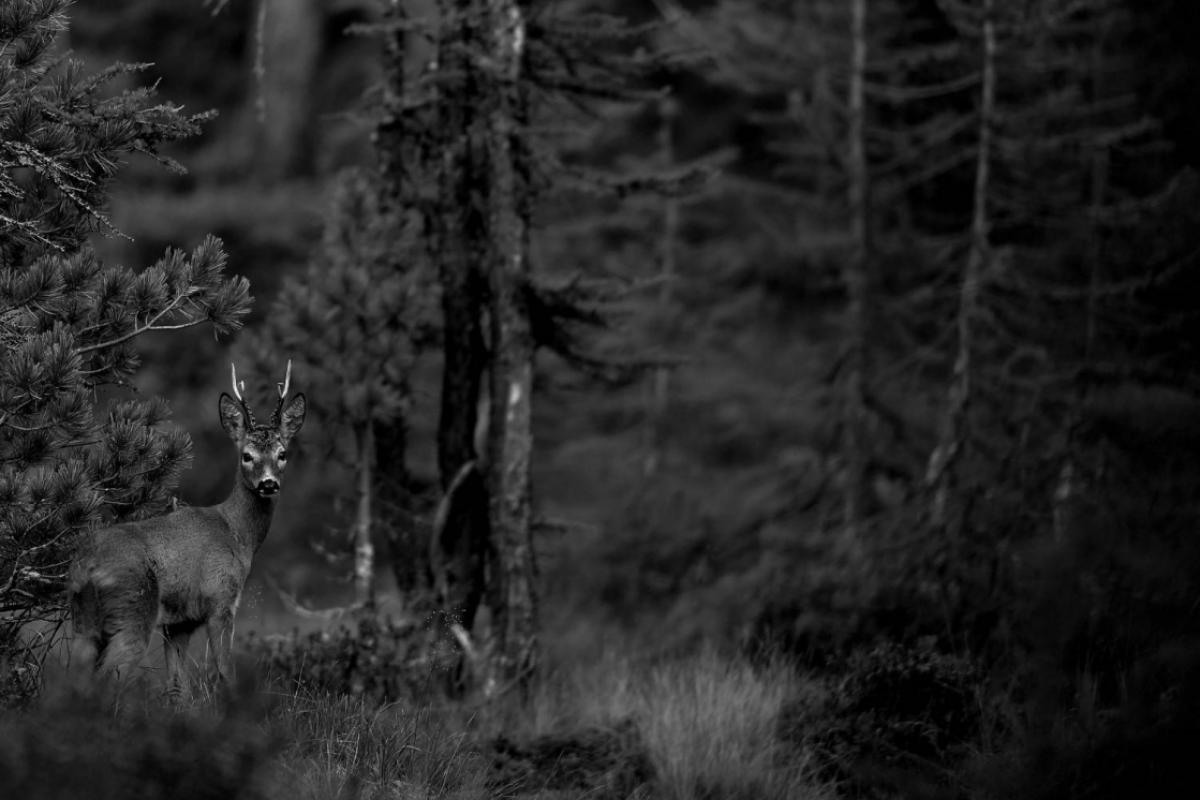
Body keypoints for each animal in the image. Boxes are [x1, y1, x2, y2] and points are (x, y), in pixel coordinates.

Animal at [68, 361, 306, 699]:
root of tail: (87, 566)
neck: (237, 533)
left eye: (283, 453)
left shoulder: (179, 623)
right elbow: (225, 672)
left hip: (83, 622)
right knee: (108, 677)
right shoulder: (221, 601)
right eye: (247, 455)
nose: (268, 484)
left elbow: (177, 687)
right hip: (133, 610)